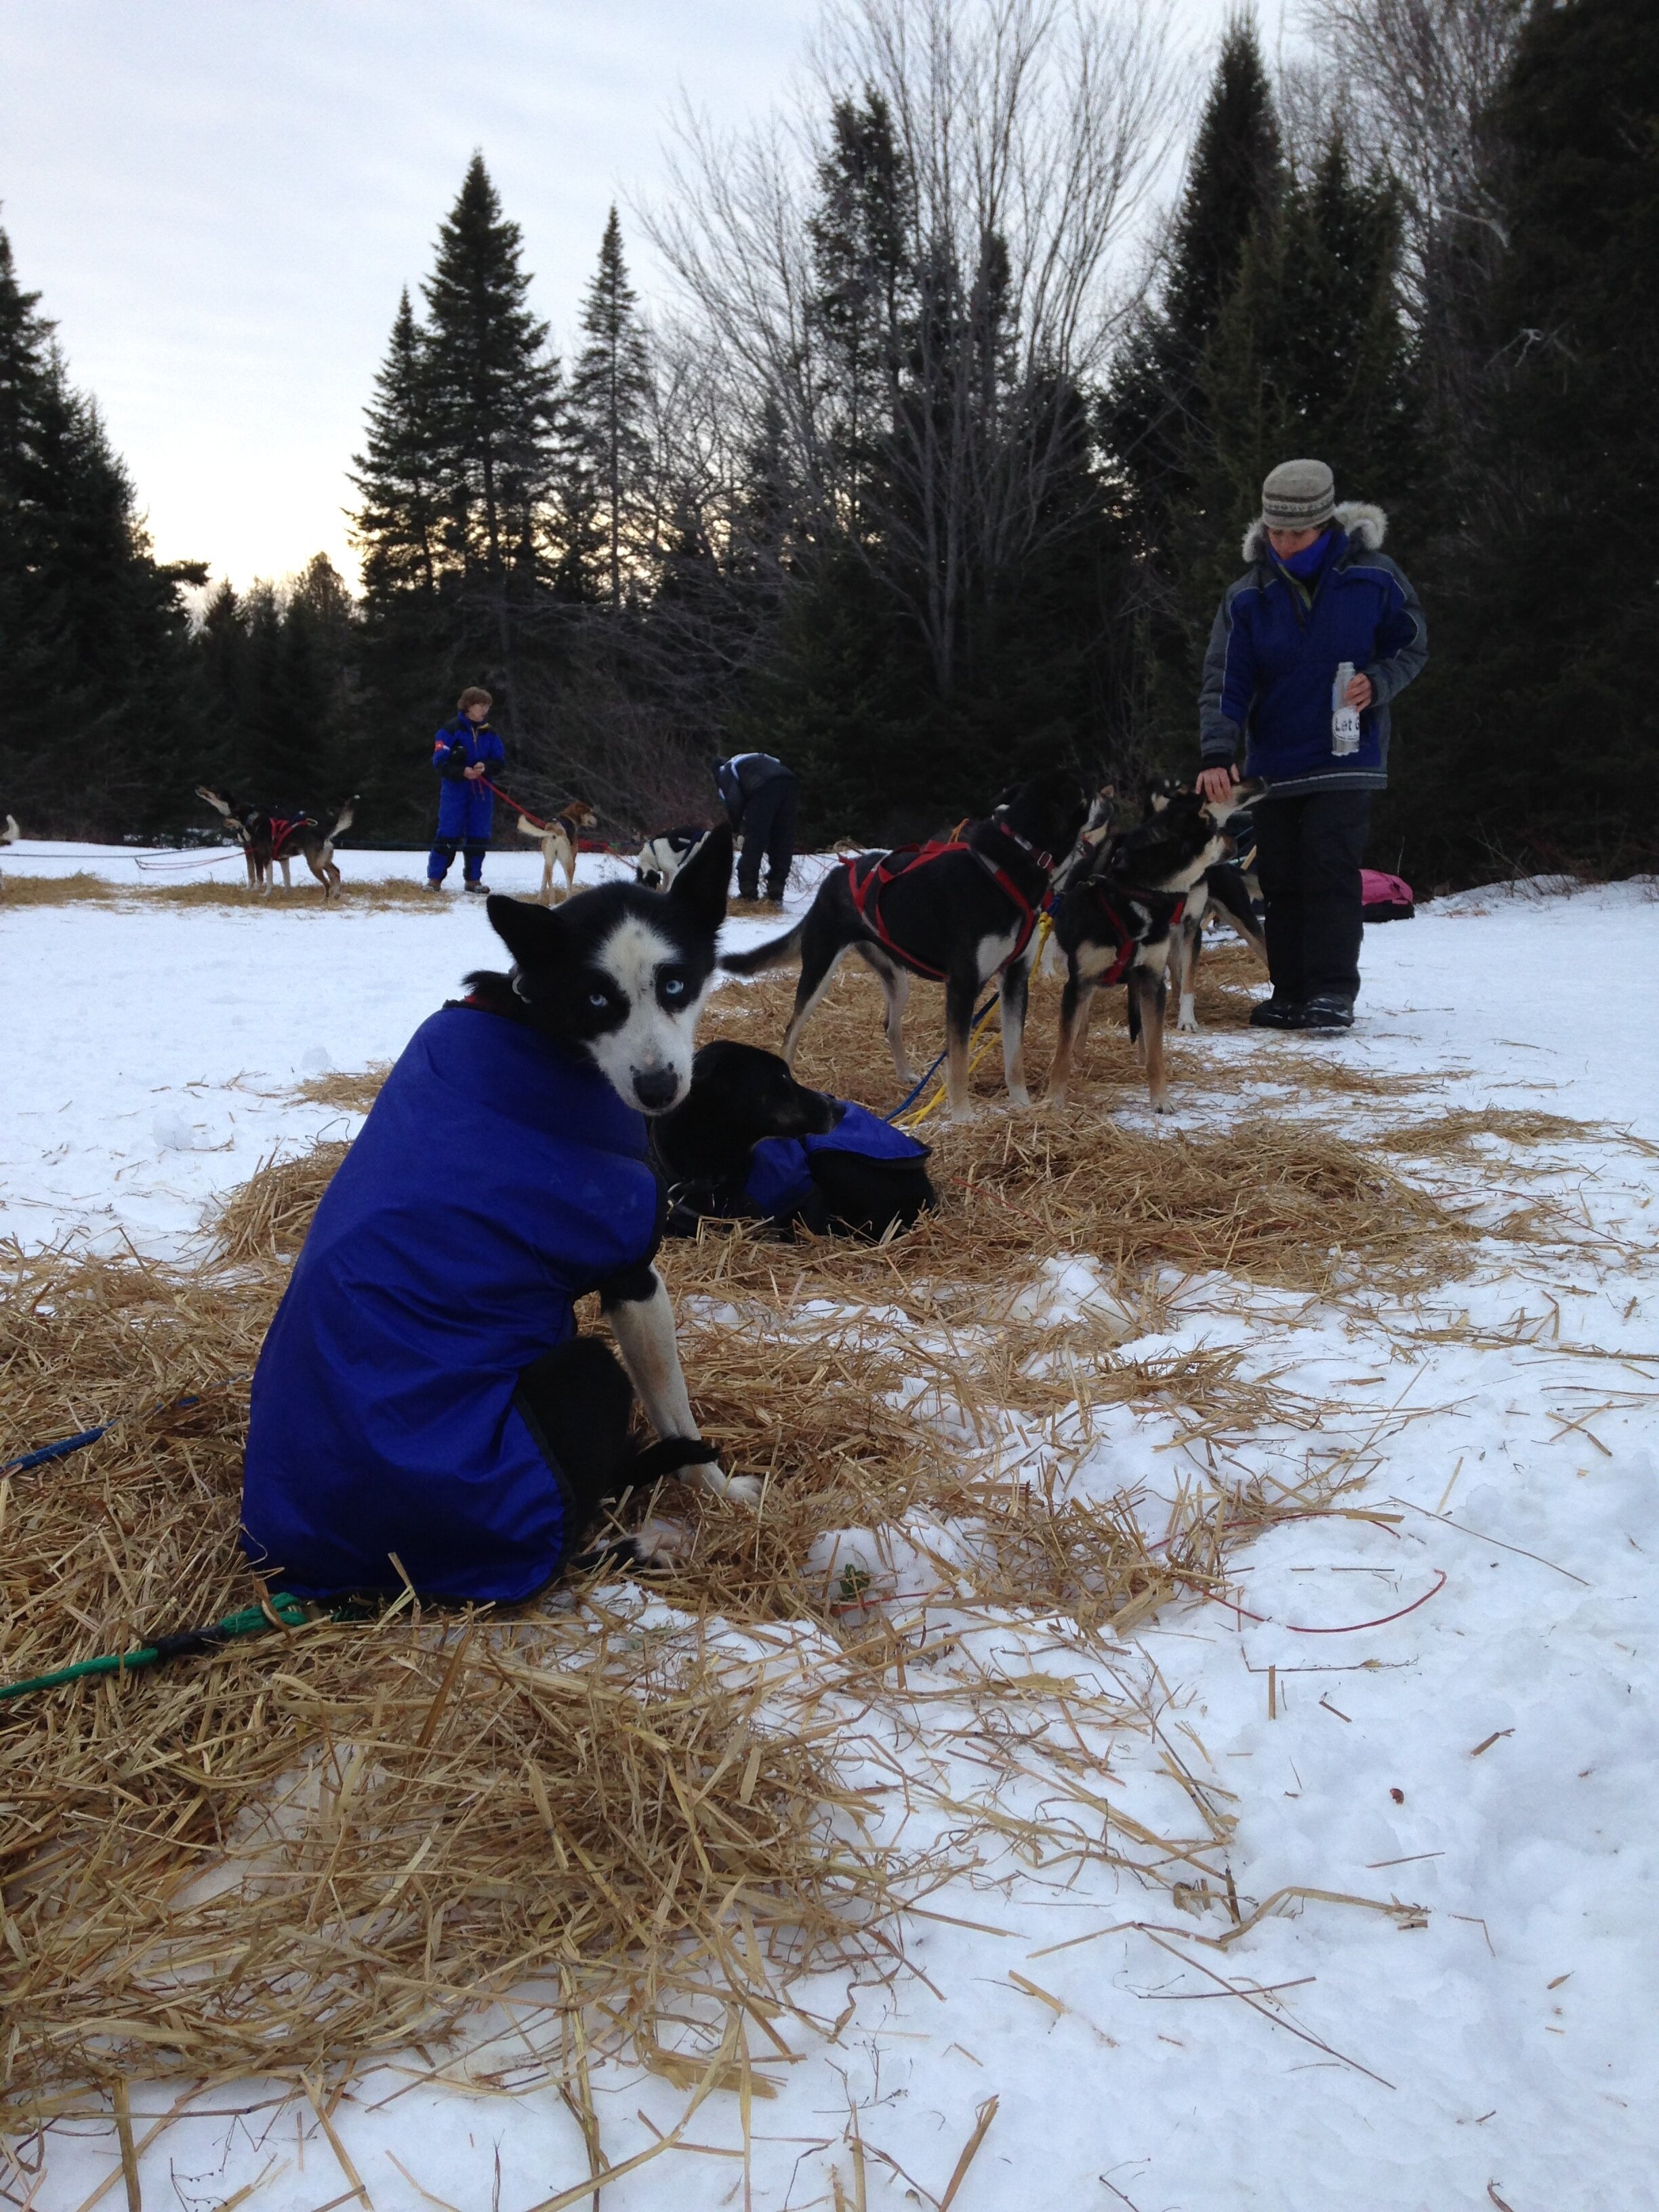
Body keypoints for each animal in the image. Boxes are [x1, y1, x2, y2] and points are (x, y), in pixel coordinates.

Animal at [240, 823, 760, 1601]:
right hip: (586, 1371)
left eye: (674, 984)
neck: (538, 1024)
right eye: (595, 998)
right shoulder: (632, 1280)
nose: (659, 1090)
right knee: (572, 1535)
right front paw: (718, 1491)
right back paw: (646, 1541)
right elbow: (677, 1413)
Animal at [522, 800, 601, 902]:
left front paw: (539, 899)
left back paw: (552, 901)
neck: (569, 817)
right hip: (568, 862)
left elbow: (544, 881)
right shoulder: (572, 858)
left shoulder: (546, 862)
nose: (597, 821)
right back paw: (567, 898)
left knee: (550, 881)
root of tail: (555, 831)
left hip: (549, 861)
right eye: (589, 812)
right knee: (568, 883)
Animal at [1052, 783, 1256, 1124]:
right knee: (1082, 1025)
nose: (1236, 841)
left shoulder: (1151, 979)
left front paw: (1161, 1099)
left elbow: (1156, 1051)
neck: (1136, 897)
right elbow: (1063, 1050)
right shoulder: (1078, 981)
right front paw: (1052, 1101)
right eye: (1212, 828)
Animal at [1141, 774, 1274, 1031]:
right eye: (1231, 778)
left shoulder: (1192, 927)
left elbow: (1189, 982)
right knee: (1175, 973)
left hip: (1243, 920)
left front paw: (1187, 1021)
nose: (1262, 777)